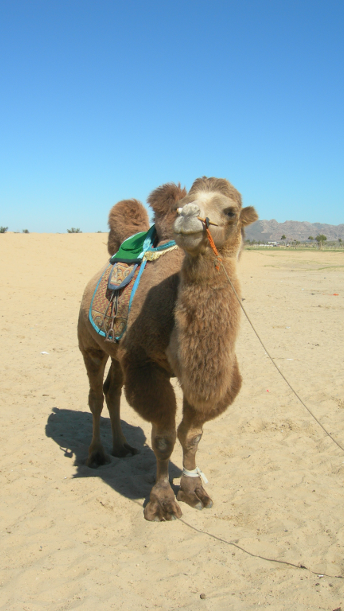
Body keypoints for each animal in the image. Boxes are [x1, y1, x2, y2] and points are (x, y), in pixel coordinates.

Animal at [77, 177, 255, 520]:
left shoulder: (206, 377)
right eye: (184, 203)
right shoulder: (147, 367)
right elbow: (163, 438)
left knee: (112, 390)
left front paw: (194, 490)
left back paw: (122, 448)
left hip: (120, 354)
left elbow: (192, 435)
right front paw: (162, 502)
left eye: (230, 211)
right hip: (90, 346)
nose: (187, 215)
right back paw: (97, 455)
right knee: (95, 397)